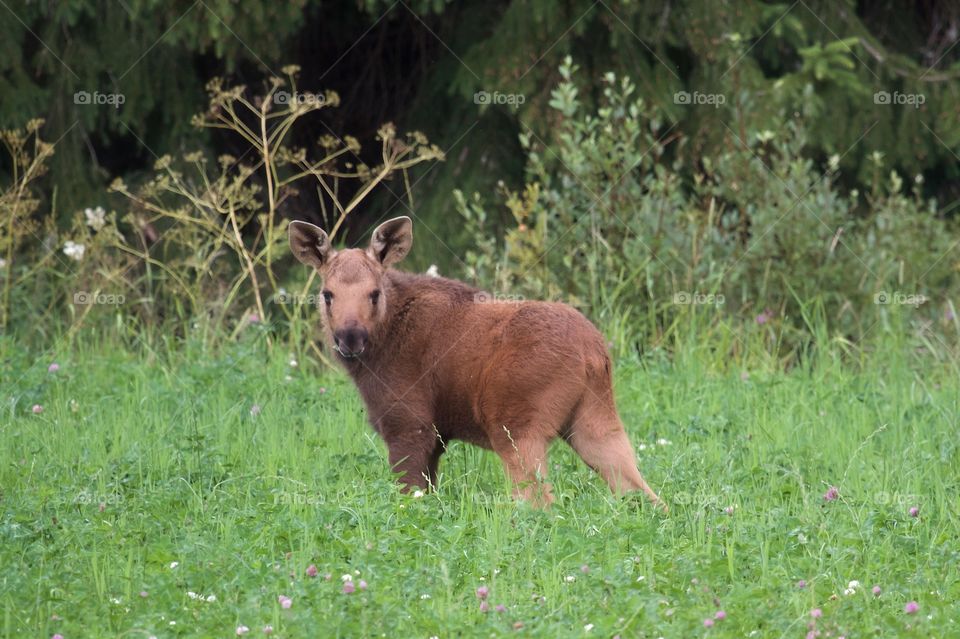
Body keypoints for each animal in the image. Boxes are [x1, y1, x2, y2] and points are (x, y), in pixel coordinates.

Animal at [288, 216, 664, 510]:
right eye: (327, 294)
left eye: (374, 293)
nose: (350, 338)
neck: (381, 346)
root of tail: (594, 353)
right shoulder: (436, 439)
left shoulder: (409, 425)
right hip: (594, 419)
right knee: (643, 494)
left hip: (515, 426)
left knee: (539, 502)